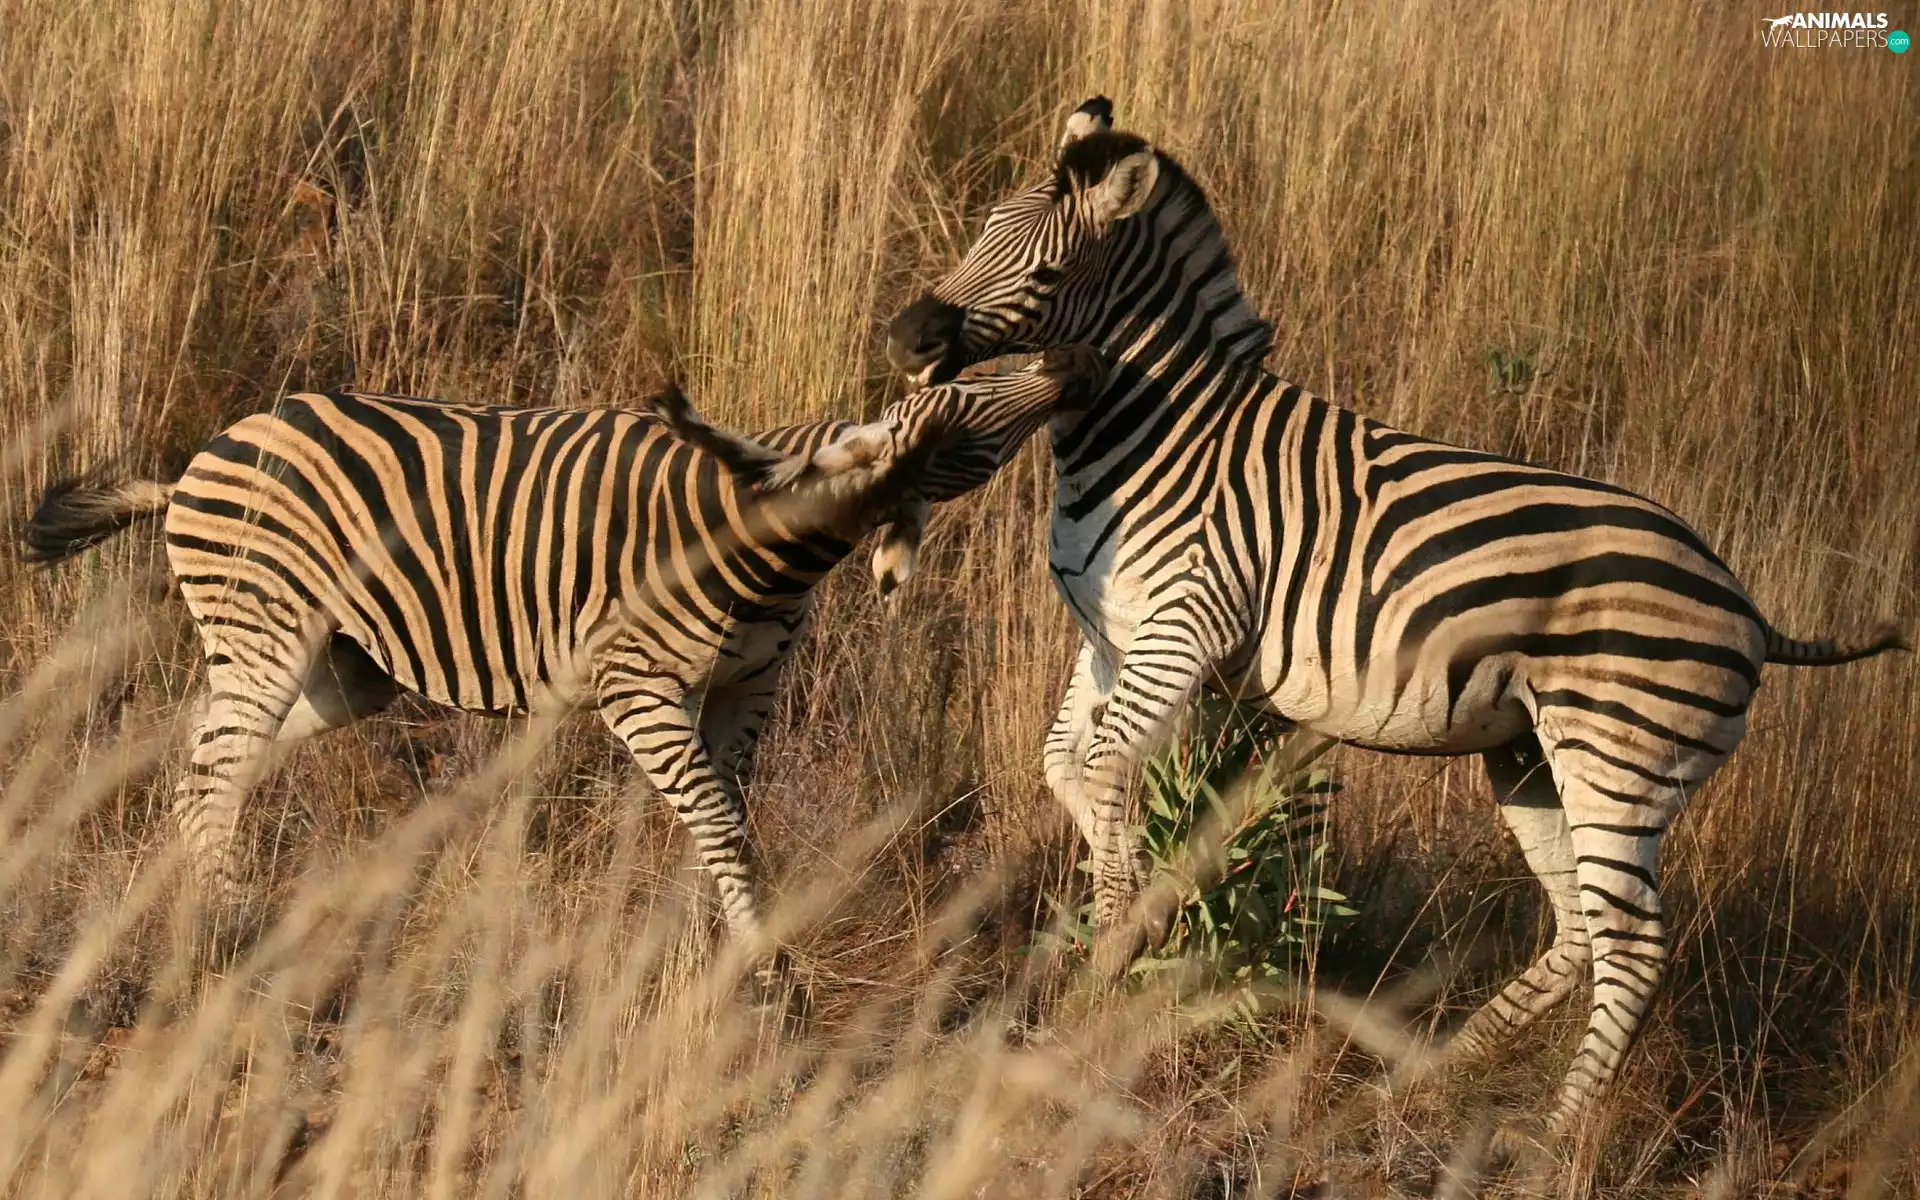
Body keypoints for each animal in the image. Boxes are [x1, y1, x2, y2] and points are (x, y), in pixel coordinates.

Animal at [21, 346, 1105, 970]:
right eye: (964, 407)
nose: (1072, 362)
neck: (772, 545)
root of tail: (188, 467)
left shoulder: (748, 687)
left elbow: (727, 811)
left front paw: (711, 934)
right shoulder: (639, 688)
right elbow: (714, 811)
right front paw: (761, 958)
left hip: (342, 667)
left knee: (205, 753)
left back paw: (197, 892)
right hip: (271, 625)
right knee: (215, 765)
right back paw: (231, 927)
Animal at [885, 96, 1908, 1140]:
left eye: (1047, 273)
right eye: (979, 231)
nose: (907, 334)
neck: (1154, 429)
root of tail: (1748, 605)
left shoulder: (1187, 623)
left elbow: (1102, 771)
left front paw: (1114, 957)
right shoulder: (1113, 640)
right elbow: (1068, 768)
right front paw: (1124, 930)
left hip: (1618, 759)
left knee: (1633, 947)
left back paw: (1552, 1140)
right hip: (1533, 757)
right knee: (1580, 930)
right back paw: (1430, 1075)